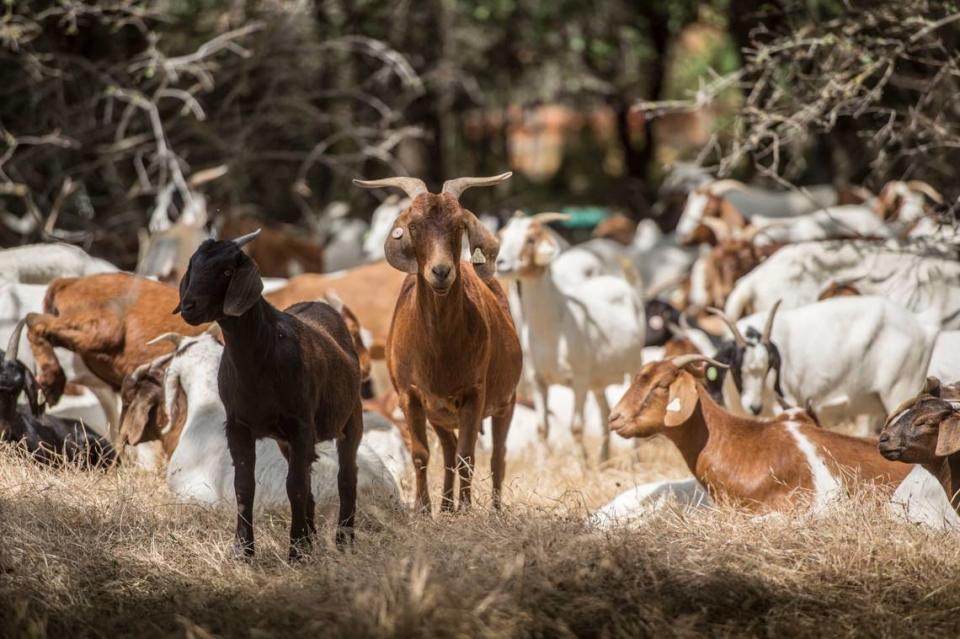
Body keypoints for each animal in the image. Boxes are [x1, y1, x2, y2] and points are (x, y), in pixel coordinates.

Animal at [176, 230, 364, 560]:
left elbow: (295, 486)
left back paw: (343, 540)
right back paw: (313, 538)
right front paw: (243, 549)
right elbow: (244, 485)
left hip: (351, 418)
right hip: (285, 440)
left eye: (227, 271)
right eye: (193, 265)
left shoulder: (301, 424)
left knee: (346, 477)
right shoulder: (238, 425)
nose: (189, 306)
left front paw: (297, 551)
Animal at [352, 174, 520, 516]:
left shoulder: (474, 393)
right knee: (448, 451)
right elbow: (422, 454)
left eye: (459, 225)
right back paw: (445, 507)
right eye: (414, 225)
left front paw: (466, 510)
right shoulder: (411, 395)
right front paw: (423, 508)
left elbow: (468, 456)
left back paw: (494, 510)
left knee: (497, 455)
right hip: (439, 413)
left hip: (505, 402)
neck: (439, 350)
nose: (441, 271)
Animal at [496, 212, 644, 462]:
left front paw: (581, 465)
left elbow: (576, 427)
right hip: (598, 379)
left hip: (633, 364)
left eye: (530, 239)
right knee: (605, 411)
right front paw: (543, 465)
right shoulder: (537, 379)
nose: (501, 263)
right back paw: (603, 460)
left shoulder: (579, 379)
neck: (551, 329)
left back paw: (633, 459)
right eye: (503, 236)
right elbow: (542, 428)